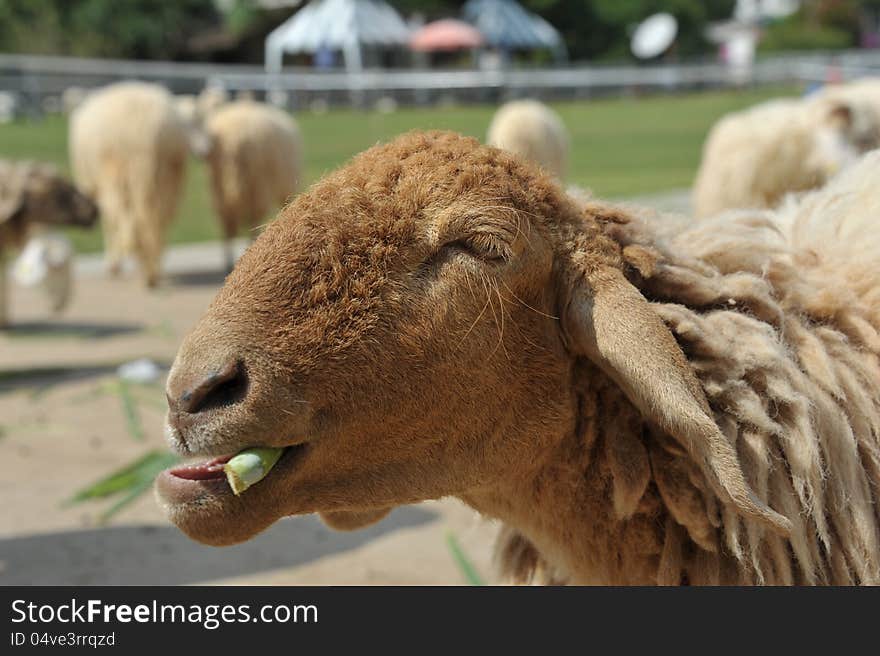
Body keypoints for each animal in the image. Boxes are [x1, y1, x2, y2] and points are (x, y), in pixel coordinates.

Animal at [69, 81, 191, 288]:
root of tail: (143, 129)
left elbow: (109, 224)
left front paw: (113, 266)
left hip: (116, 173)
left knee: (126, 222)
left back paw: (140, 270)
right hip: (168, 176)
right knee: (156, 220)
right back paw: (152, 271)